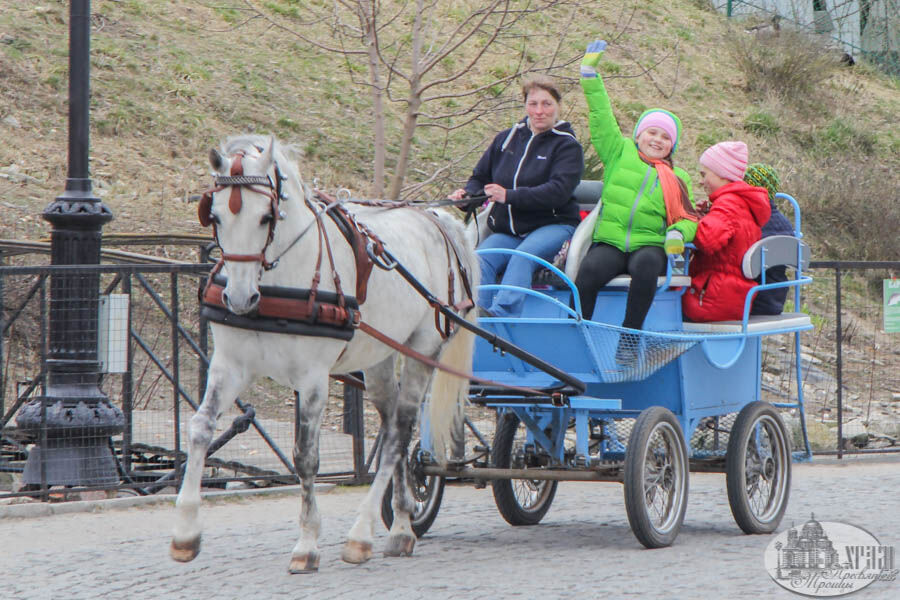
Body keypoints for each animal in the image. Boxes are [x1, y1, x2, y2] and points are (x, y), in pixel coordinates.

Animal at [170, 135, 479, 573]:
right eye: (213, 216)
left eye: (267, 217)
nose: (239, 298)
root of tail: (436, 219)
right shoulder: (230, 366)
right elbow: (199, 429)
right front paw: (185, 531)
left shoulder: (313, 378)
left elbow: (306, 458)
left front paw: (307, 543)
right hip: (380, 356)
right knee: (393, 429)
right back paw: (403, 525)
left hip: (423, 349)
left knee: (399, 431)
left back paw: (361, 534)